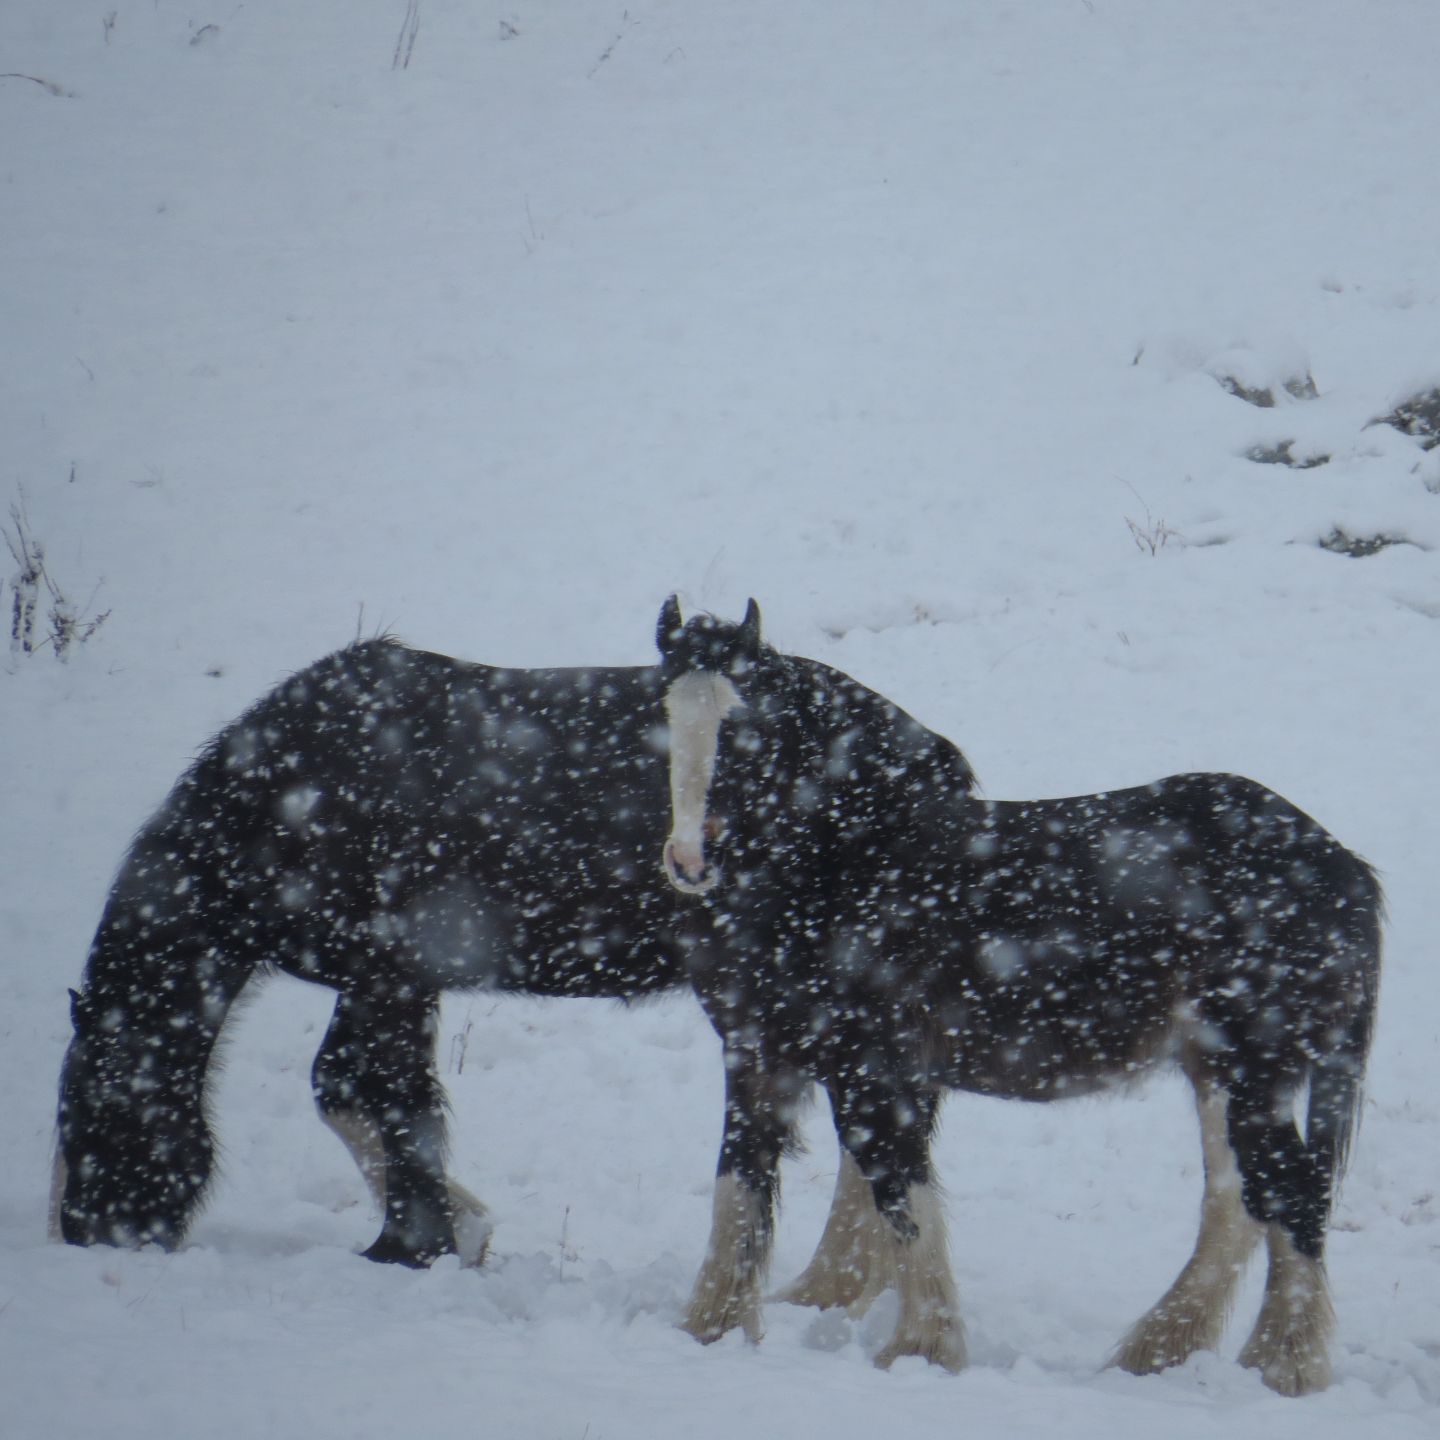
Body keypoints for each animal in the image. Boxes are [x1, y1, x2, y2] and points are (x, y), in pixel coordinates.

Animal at [51, 605, 976, 1304]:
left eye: (97, 1115)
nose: (85, 1233)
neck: (300, 794)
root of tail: (937, 762)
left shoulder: (390, 978)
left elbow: (365, 1090)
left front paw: (421, 1241)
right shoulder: (391, 981)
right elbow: (361, 1091)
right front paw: (444, 1232)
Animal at [656, 601, 1382, 1396]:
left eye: (747, 726)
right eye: (665, 715)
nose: (689, 860)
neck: (851, 861)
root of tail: (1342, 868)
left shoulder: (869, 1071)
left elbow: (900, 1195)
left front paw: (923, 1349)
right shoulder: (761, 1058)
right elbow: (740, 1188)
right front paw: (712, 1328)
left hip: (1251, 1069)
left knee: (1292, 1194)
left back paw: (1283, 1366)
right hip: (1220, 1072)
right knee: (1241, 1205)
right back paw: (1164, 1353)